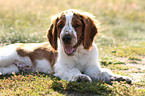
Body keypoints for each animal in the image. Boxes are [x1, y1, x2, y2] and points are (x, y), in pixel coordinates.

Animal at [0, 9, 131, 83]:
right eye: (60, 25)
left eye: (77, 25)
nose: (66, 38)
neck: (78, 52)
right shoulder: (61, 66)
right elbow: (73, 69)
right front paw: (80, 77)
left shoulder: (92, 67)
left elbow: (103, 72)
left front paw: (118, 77)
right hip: (8, 56)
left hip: (13, 68)